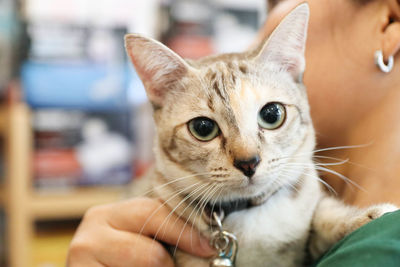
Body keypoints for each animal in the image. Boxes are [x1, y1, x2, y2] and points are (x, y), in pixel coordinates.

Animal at [124, 4, 396, 267]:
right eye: (202, 128)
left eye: (272, 114)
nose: (248, 163)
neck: (251, 217)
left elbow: (323, 215)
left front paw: (364, 216)